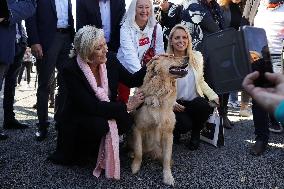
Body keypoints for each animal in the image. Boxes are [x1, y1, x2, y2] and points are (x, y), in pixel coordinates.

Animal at [129, 55, 187, 186]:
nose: (187, 57)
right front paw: (135, 166)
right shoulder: (137, 128)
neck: (160, 95)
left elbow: (166, 157)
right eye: (170, 56)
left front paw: (168, 176)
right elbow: (139, 151)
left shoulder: (168, 133)